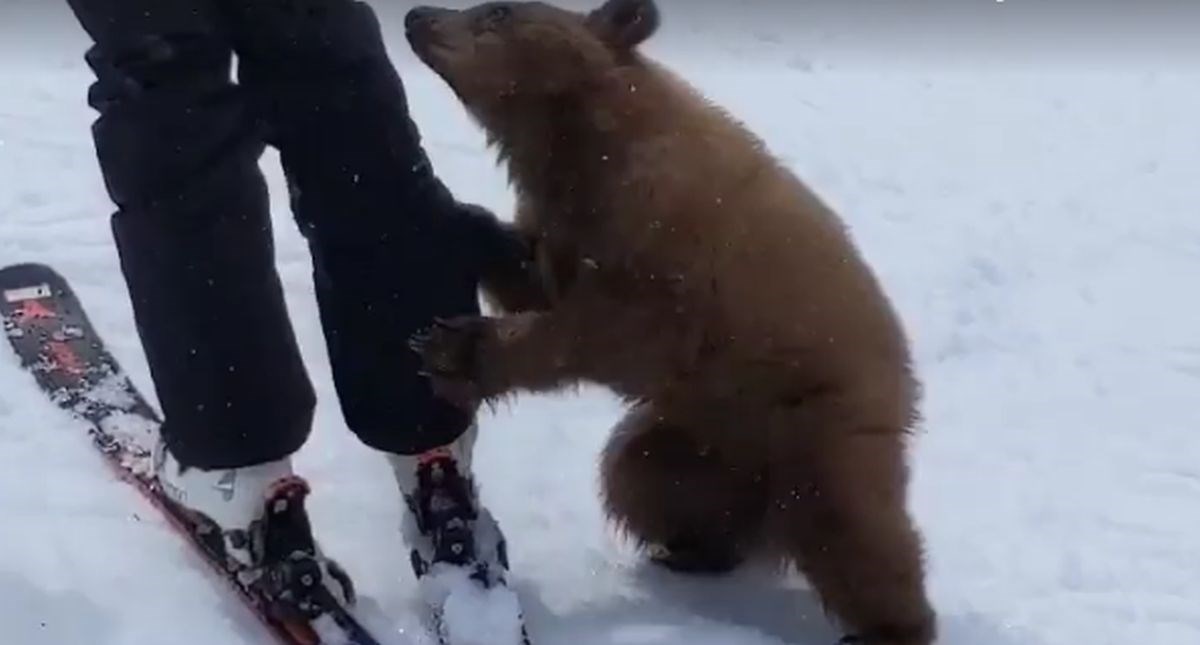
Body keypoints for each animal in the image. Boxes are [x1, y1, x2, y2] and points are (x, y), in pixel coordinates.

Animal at [408, 2, 940, 637]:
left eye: (496, 11)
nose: (416, 16)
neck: (582, 143)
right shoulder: (569, 222)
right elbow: (538, 282)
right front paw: (473, 228)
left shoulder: (667, 238)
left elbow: (613, 329)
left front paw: (454, 349)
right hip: (705, 435)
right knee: (643, 477)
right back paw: (690, 547)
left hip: (820, 421)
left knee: (851, 526)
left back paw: (892, 624)